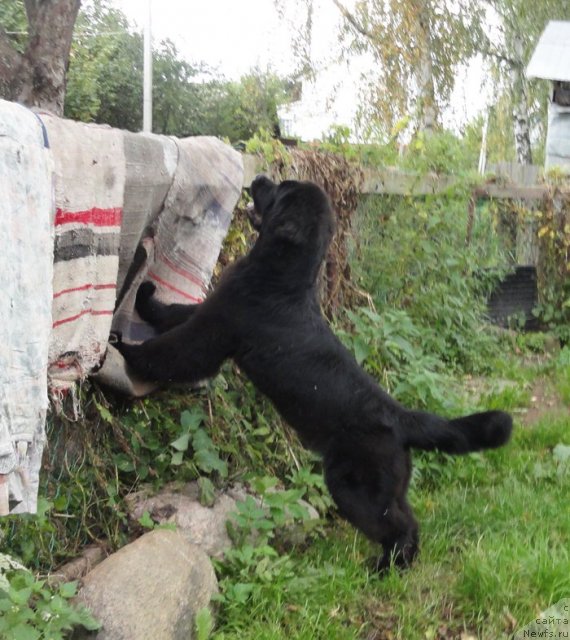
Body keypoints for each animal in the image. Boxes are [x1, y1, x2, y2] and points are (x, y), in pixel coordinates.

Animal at [115, 175, 510, 568]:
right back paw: (395, 566)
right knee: (409, 521)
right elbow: (174, 312)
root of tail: (401, 419)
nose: (259, 178)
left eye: (278, 190)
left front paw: (122, 349)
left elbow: (169, 351)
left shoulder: (212, 333)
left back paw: (383, 568)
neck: (282, 277)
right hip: (390, 488)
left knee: (396, 527)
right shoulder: (211, 312)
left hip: (354, 487)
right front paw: (145, 299)